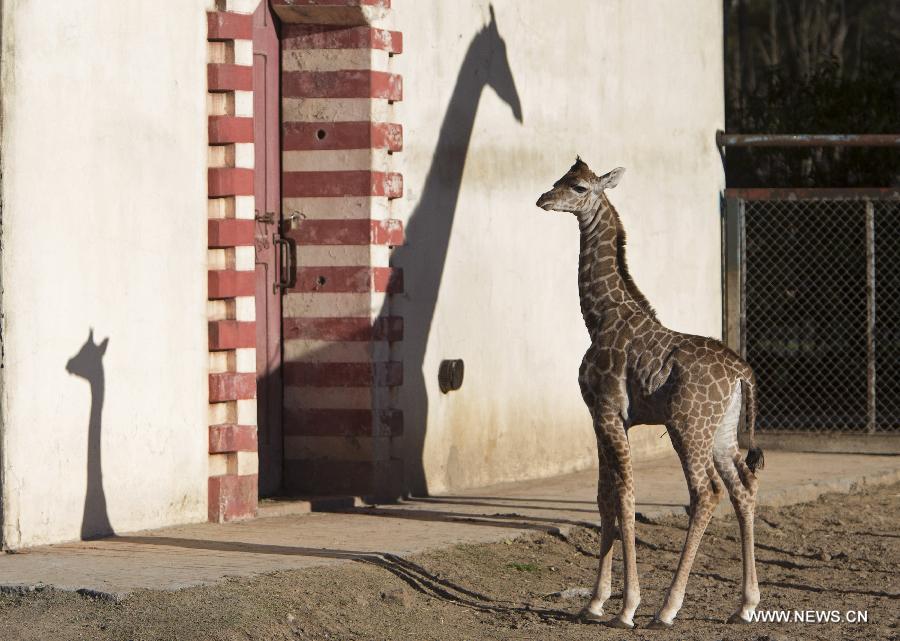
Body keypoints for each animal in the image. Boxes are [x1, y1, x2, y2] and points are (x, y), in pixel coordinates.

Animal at [536, 158, 764, 628]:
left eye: (578, 186)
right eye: (558, 179)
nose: (543, 199)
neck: (600, 317)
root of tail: (743, 375)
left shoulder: (608, 411)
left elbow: (625, 497)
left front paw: (627, 606)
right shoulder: (601, 417)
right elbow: (604, 499)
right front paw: (594, 601)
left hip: (688, 427)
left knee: (706, 493)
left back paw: (668, 607)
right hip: (721, 433)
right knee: (743, 486)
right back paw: (746, 604)